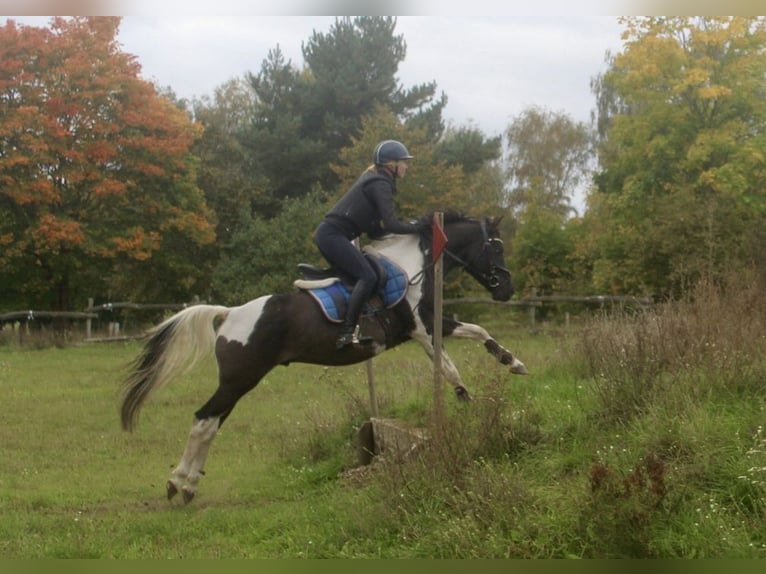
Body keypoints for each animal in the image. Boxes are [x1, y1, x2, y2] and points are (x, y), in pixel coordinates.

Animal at [120, 211, 528, 503]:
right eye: (495, 247)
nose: (506, 289)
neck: (415, 265)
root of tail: (230, 313)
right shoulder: (422, 327)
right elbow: (447, 365)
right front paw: (464, 397)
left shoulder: (431, 322)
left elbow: (479, 332)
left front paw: (511, 362)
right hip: (240, 379)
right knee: (204, 420)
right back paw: (180, 482)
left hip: (238, 383)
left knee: (211, 422)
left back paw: (186, 483)